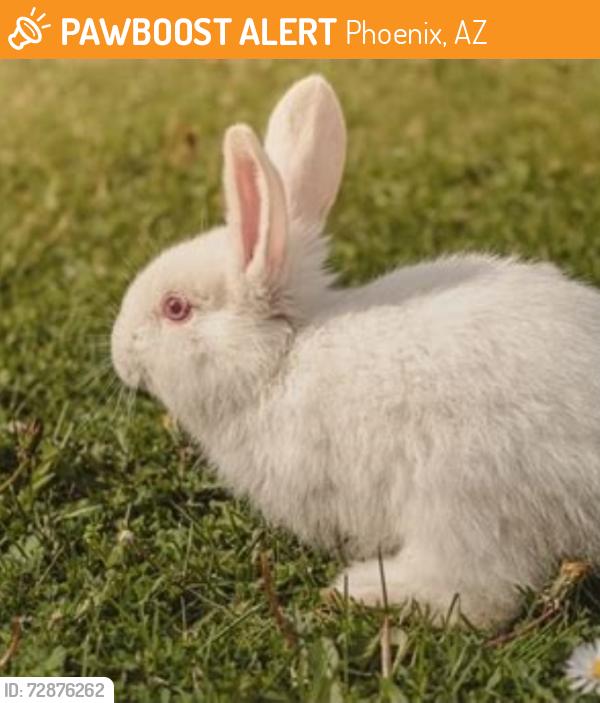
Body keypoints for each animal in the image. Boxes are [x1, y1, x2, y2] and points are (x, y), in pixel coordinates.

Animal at [112, 74, 600, 628]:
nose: (119, 353)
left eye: (176, 308)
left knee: (479, 594)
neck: (278, 363)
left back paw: (363, 588)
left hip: (462, 496)